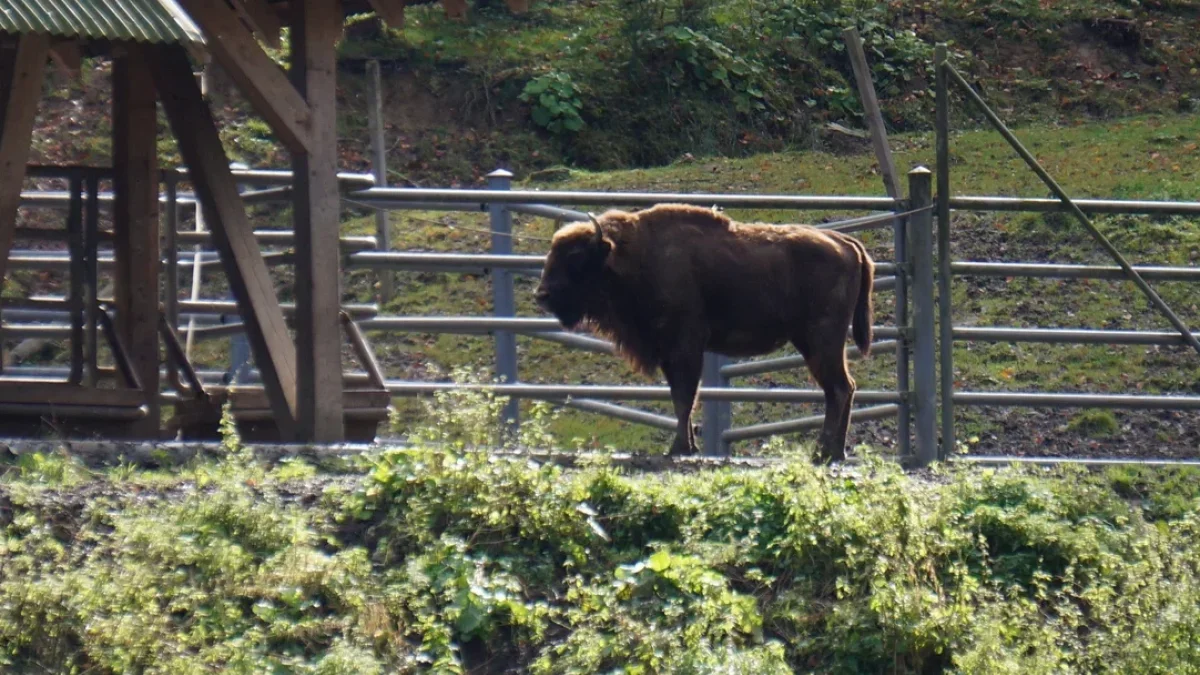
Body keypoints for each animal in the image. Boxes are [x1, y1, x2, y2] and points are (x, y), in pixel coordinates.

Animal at [540, 201, 878, 458]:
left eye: (575, 257)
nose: (542, 295)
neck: (629, 256)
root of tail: (846, 243)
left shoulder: (685, 346)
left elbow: (685, 397)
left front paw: (679, 448)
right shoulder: (671, 352)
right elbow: (680, 397)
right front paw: (686, 446)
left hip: (822, 340)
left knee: (839, 388)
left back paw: (824, 452)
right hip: (813, 343)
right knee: (841, 389)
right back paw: (832, 452)